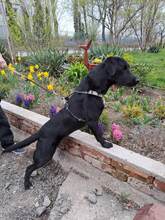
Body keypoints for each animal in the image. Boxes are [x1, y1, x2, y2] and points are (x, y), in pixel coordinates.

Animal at [3, 56, 139, 189]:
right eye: (124, 68)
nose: (137, 80)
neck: (92, 90)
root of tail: (40, 131)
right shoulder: (92, 121)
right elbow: (99, 135)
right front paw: (105, 144)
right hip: (45, 153)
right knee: (29, 167)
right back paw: (27, 184)